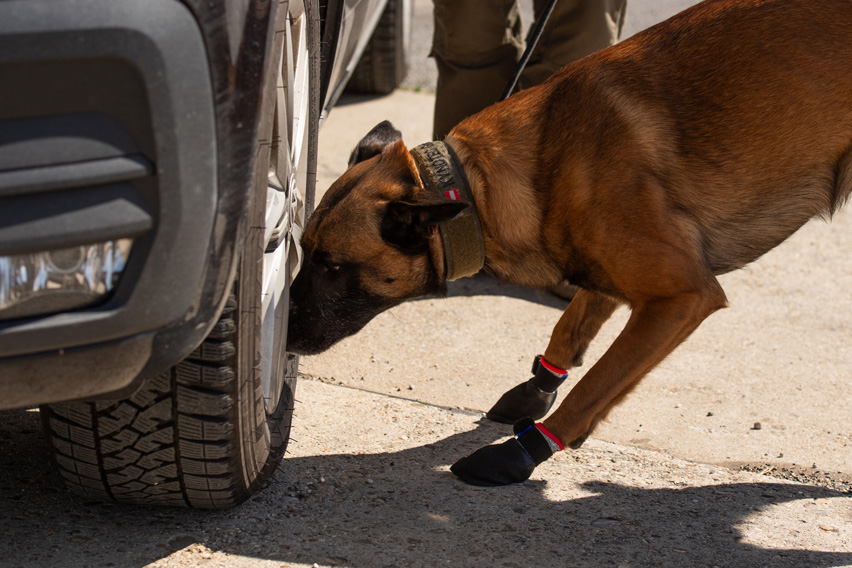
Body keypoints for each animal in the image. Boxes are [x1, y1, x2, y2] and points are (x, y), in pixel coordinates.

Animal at [288, 0, 852, 486]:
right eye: (303, 255)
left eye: (331, 266)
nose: (284, 335)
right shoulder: (608, 273)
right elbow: (570, 326)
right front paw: (537, 388)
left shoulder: (681, 297)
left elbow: (594, 385)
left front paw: (525, 450)